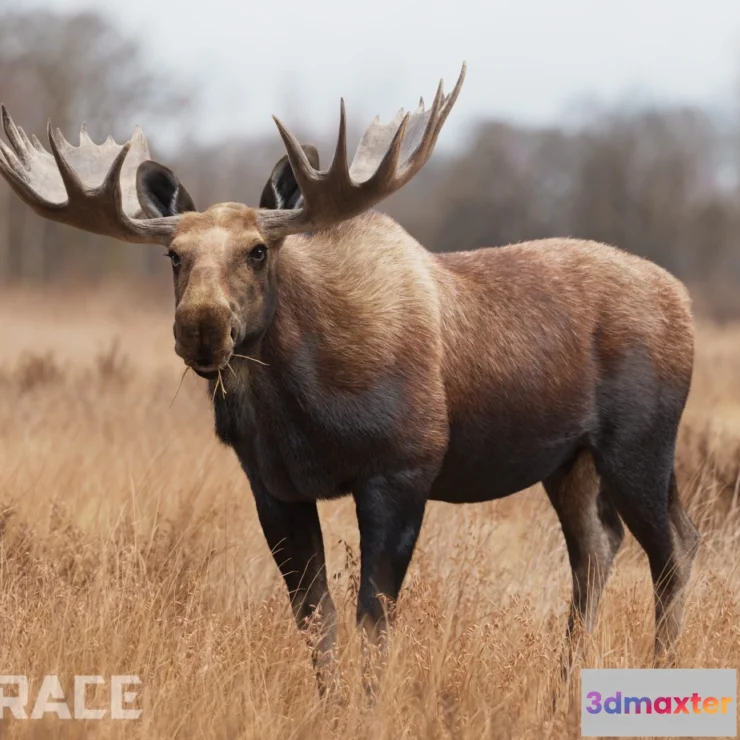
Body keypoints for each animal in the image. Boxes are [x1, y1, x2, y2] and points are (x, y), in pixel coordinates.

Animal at [0, 64, 700, 682]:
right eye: (174, 255)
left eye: (259, 250)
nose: (201, 326)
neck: (300, 407)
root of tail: (684, 299)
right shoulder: (274, 487)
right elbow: (317, 620)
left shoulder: (401, 472)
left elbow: (374, 620)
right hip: (569, 462)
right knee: (597, 551)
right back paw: (562, 685)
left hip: (639, 445)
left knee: (674, 548)